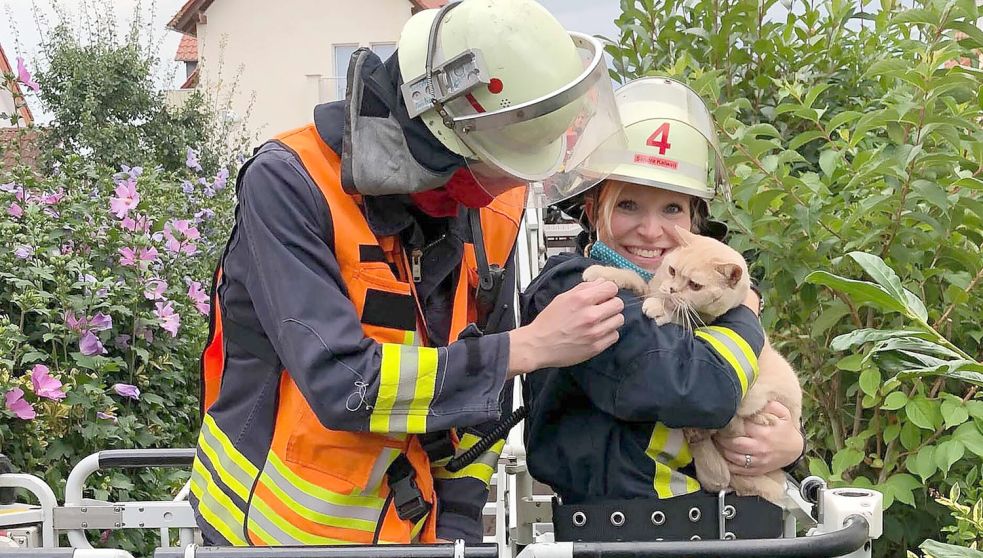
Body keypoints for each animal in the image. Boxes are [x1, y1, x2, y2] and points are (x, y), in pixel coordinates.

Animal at [584, 225, 800, 506]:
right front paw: (603, 272)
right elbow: (634, 278)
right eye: (672, 271)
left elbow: (679, 315)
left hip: (761, 396)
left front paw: (660, 309)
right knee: (717, 475)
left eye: (695, 285)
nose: (672, 289)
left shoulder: (698, 326)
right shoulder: (652, 286)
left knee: (735, 429)